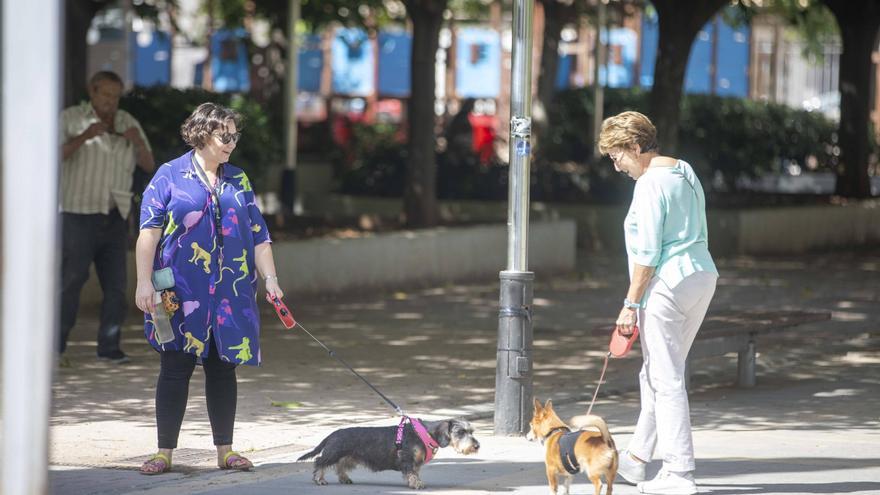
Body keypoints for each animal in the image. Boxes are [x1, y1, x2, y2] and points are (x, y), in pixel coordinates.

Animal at [300, 418, 482, 488]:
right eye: (461, 432)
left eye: (471, 431)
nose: (476, 445)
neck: (424, 433)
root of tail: (333, 433)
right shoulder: (408, 459)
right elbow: (411, 473)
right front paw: (417, 484)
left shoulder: (415, 462)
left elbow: (414, 472)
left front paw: (415, 482)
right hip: (334, 453)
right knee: (320, 462)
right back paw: (319, 479)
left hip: (348, 457)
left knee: (340, 466)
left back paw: (344, 478)